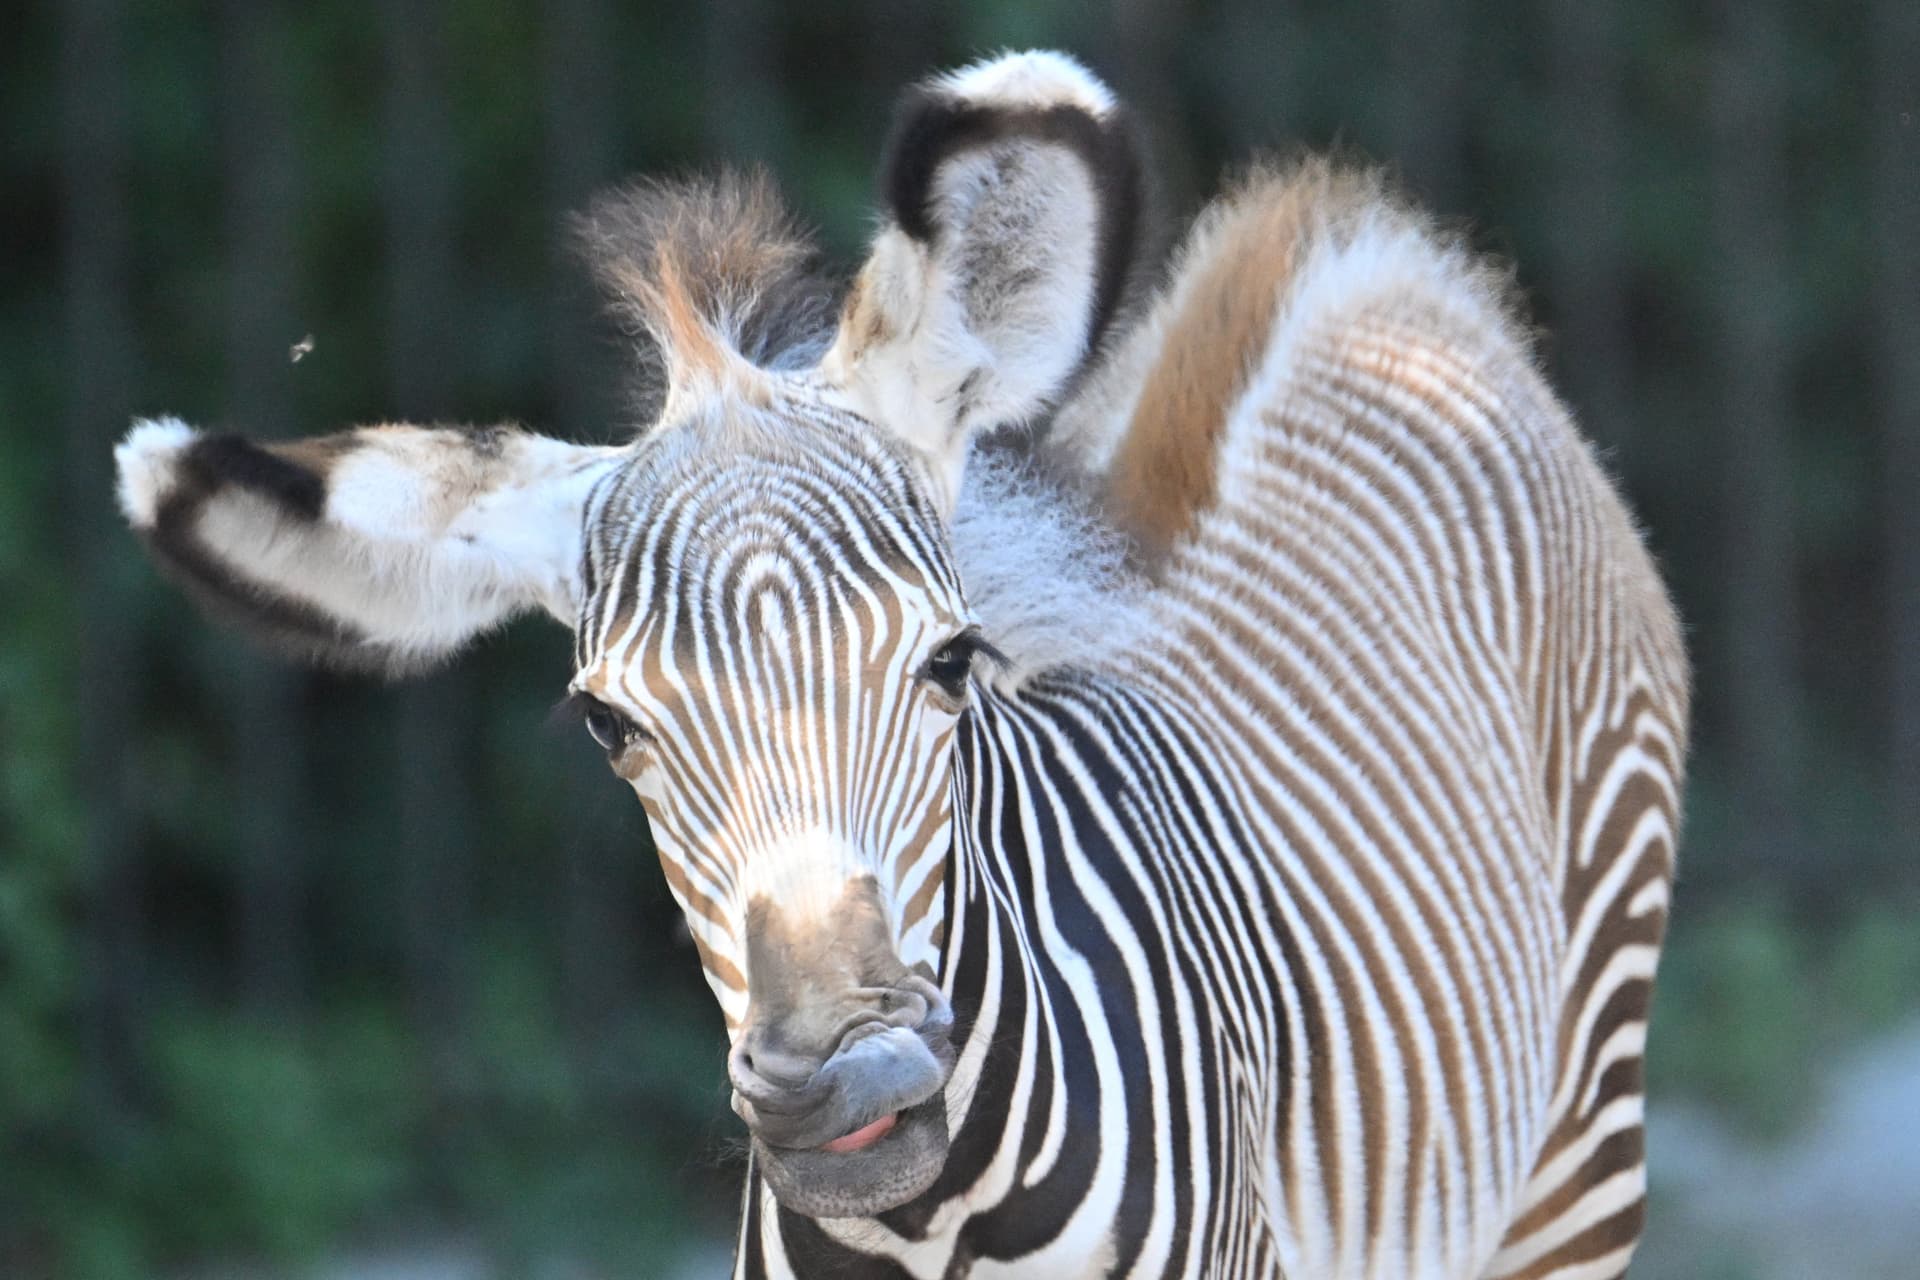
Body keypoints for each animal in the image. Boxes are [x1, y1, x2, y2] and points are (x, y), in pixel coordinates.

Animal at [114, 50, 1689, 1280]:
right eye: (608, 726)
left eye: (952, 661)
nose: (849, 1085)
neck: (934, 1229)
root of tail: (1376, 271)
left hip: (1580, 1142)